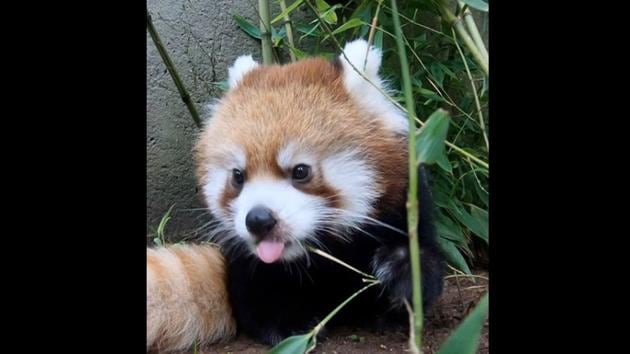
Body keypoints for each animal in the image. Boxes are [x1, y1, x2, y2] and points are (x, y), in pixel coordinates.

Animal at [193, 38, 444, 346]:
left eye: (301, 171)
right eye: (238, 176)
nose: (259, 220)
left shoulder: (406, 202)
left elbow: (423, 262)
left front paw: (400, 274)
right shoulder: (247, 261)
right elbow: (256, 295)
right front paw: (287, 326)